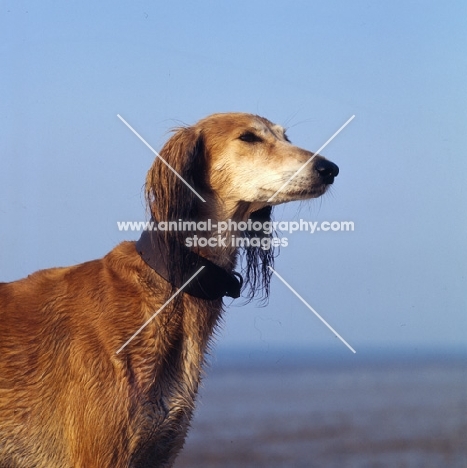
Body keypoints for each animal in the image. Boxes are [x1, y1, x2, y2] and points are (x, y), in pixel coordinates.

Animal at [0, 111, 338, 466]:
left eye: (286, 138)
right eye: (249, 137)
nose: (329, 168)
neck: (172, 282)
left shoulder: (160, 447)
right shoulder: (102, 454)